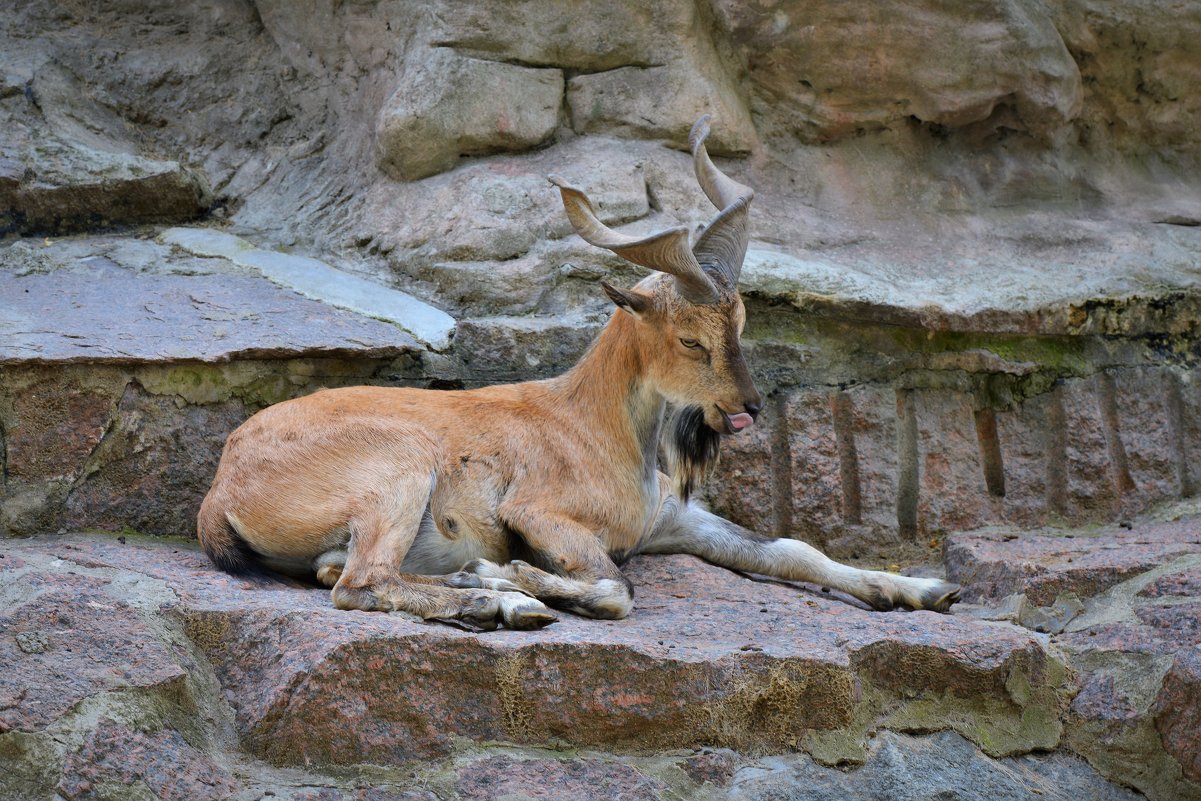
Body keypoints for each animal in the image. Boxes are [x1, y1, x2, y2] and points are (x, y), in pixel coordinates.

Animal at [201, 120, 960, 634]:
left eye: (741, 322)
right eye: (690, 338)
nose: (746, 408)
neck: (599, 426)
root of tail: (222, 488)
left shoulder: (671, 520)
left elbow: (795, 550)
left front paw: (925, 589)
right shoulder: (541, 514)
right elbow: (613, 588)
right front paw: (503, 570)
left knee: (340, 572)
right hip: (399, 468)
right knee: (358, 583)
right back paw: (498, 601)